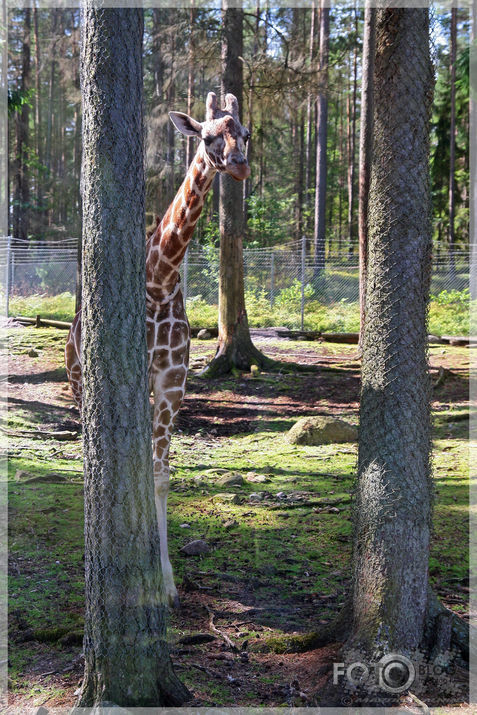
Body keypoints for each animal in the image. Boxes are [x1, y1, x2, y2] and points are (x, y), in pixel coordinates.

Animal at [65, 92, 251, 608]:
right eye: (208, 136)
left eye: (246, 133)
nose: (240, 166)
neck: (159, 280)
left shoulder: (171, 380)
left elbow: (159, 472)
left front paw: (165, 581)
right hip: (79, 382)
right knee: (88, 459)